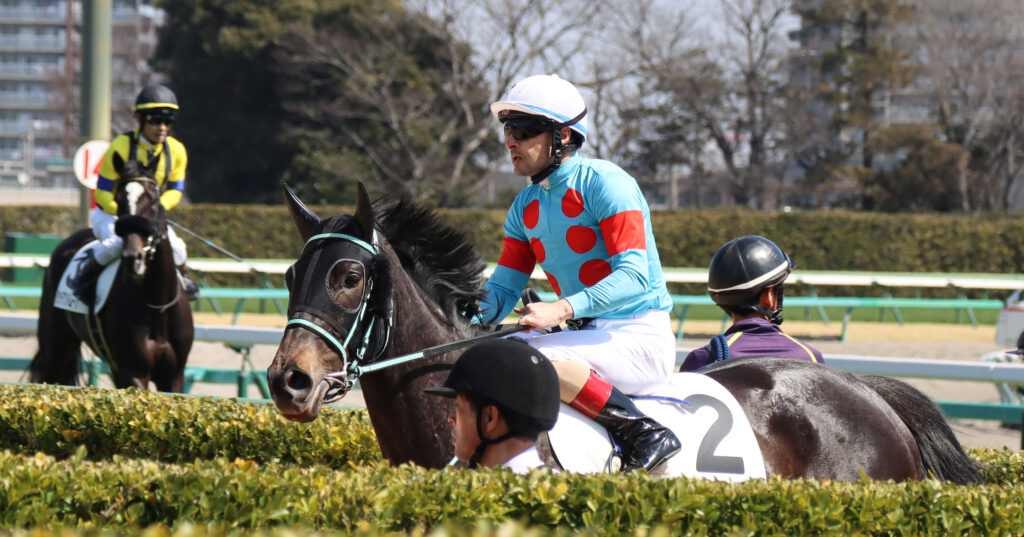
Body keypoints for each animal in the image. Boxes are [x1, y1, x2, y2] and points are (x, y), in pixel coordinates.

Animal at [29, 153, 194, 392]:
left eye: (154, 199)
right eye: (119, 199)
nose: (134, 257)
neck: (156, 304)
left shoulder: (173, 375)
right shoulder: (133, 372)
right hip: (56, 346)